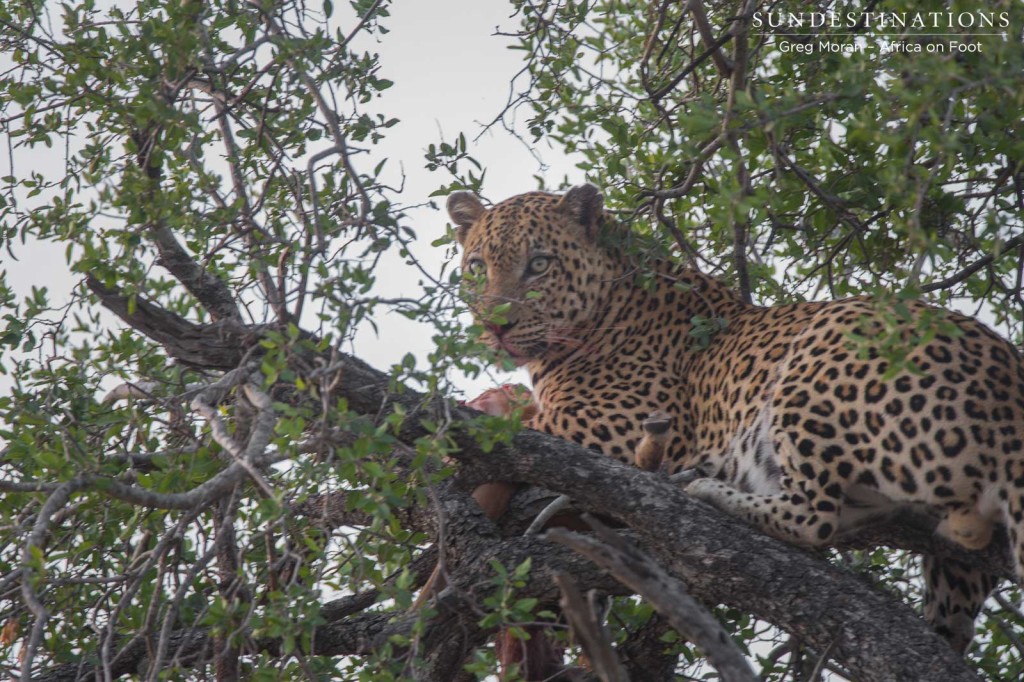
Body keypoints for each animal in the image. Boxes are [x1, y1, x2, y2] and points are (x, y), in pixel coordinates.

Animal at [448, 180, 1024, 655]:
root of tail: (1010, 394)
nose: (496, 326)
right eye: (477, 268)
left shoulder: (626, 424)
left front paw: (478, 416)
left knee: (815, 518)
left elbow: (514, 428)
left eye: (539, 264)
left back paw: (710, 492)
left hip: (823, 348)